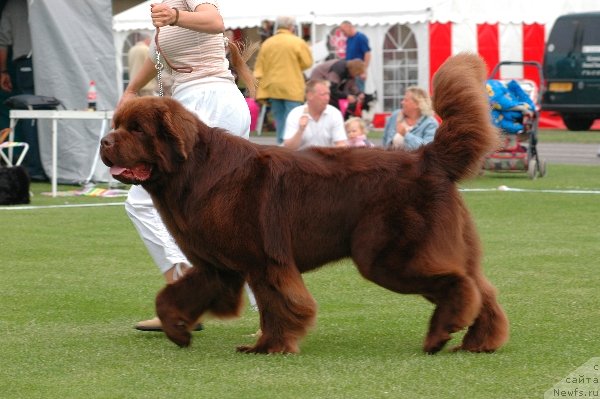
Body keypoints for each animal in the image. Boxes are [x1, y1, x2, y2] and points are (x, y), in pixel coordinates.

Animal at [101, 54, 508, 356]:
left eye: (137, 130)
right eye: (117, 124)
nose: (105, 141)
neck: (193, 173)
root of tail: (427, 157)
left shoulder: (263, 260)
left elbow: (277, 304)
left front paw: (268, 347)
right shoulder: (217, 265)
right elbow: (170, 295)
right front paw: (178, 331)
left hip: (384, 255)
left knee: (461, 283)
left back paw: (441, 333)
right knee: (482, 289)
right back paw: (479, 343)